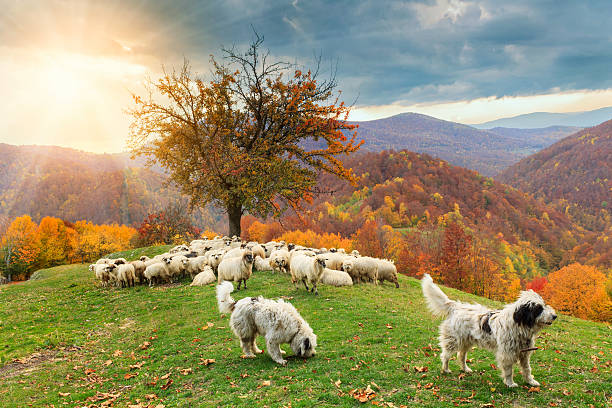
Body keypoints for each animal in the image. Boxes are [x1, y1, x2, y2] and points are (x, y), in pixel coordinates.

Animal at [424, 274, 556, 386]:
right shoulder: (507, 354)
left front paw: (530, 382)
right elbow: (509, 371)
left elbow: (527, 369)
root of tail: (456, 306)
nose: (555, 316)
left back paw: (465, 369)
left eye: (543, 305)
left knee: (461, 356)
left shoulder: (524, 353)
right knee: (445, 356)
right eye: (538, 309)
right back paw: (446, 369)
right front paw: (510, 383)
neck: (519, 325)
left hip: (466, 341)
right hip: (453, 341)